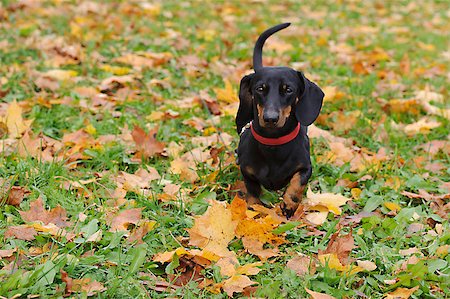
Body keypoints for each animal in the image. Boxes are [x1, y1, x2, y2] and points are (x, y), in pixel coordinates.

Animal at [236, 22, 324, 217]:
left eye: (288, 89)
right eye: (260, 88)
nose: (270, 118)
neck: (273, 144)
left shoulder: (306, 167)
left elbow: (297, 183)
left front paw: (289, 204)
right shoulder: (247, 172)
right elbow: (252, 191)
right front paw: (254, 208)